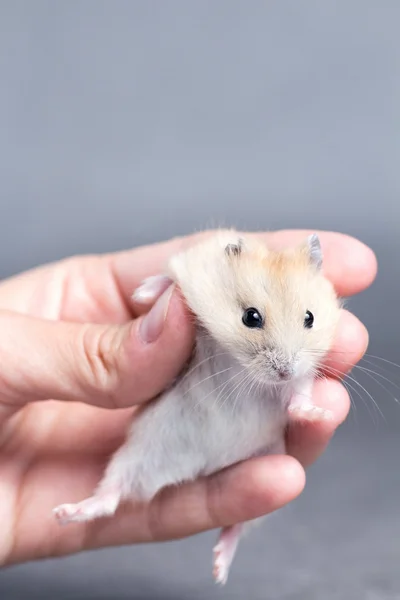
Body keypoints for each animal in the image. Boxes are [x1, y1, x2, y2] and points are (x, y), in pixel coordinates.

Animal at [52, 231, 340, 584]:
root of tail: (199, 468)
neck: (241, 366)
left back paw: (219, 569)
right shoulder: (190, 266)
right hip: (133, 456)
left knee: (237, 525)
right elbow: (169, 279)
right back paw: (64, 514)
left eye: (309, 318)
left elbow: (298, 395)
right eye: (251, 317)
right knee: (108, 499)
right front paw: (142, 293)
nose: (284, 371)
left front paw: (318, 414)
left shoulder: (300, 378)